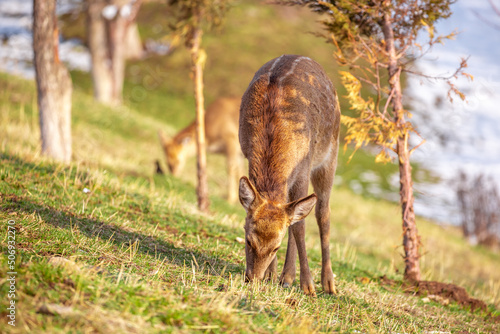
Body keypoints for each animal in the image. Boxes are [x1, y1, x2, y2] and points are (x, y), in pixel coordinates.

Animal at [237, 54, 340, 294]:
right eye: (248, 240)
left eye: (276, 247)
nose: (253, 279)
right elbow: (290, 220)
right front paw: (272, 275)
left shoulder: (304, 166)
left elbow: (300, 227)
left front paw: (308, 285)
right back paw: (286, 276)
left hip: (331, 154)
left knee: (323, 213)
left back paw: (327, 283)